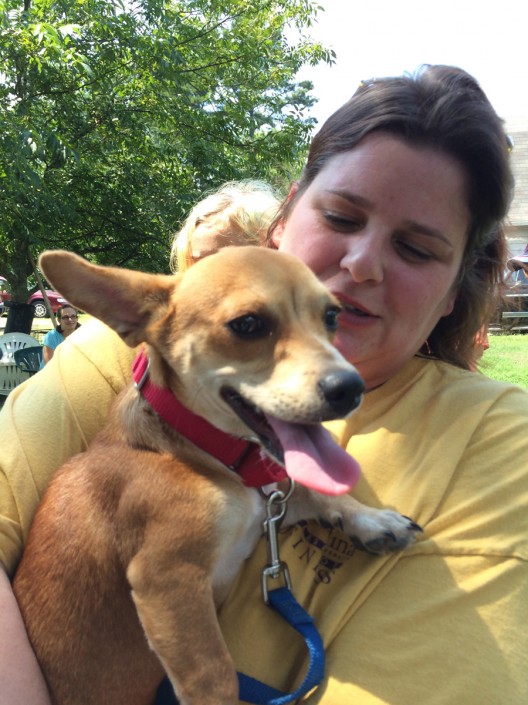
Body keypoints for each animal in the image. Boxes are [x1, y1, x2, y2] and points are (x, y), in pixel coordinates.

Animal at [13, 248, 420, 704]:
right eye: (248, 324)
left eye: (332, 316)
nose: (351, 387)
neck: (206, 451)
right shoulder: (167, 578)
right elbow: (216, 675)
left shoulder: (268, 507)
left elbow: (320, 493)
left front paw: (374, 520)